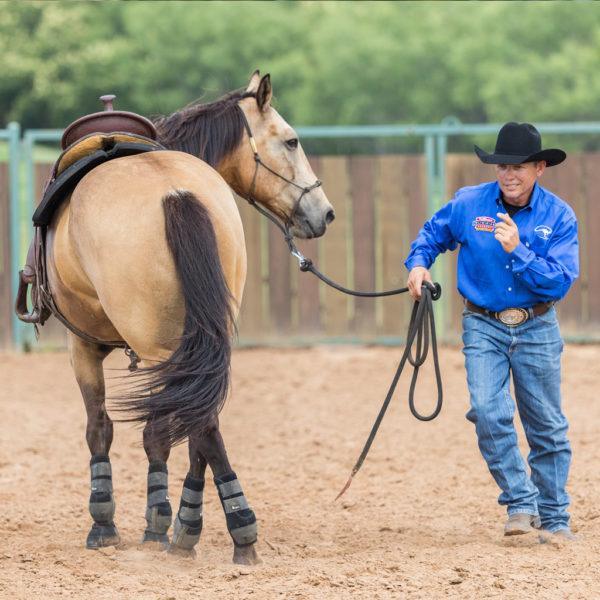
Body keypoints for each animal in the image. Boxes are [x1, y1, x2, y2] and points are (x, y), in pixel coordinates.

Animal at [44, 71, 334, 564]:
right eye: (292, 141)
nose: (326, 213)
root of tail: (174, 193)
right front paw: (174, 522)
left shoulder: (82, 345)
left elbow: (102, 429)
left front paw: (108, 524)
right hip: (201, 342)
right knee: (201, 418)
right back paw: (209, 528)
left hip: (160, 348)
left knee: (185, 426)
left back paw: (218, 528)